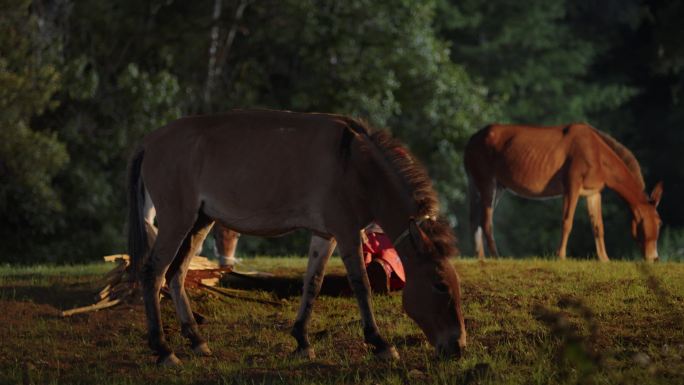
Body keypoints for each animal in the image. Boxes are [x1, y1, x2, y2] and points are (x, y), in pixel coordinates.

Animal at [129, 108, 468, 364]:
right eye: (440, 285)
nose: (459, 347)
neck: (355, 164)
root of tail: (149, 140)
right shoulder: (347, 233)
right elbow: (362, 285)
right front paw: (380, 343)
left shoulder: (325, 235)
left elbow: (313, 284)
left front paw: (302, 340)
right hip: (177, 221)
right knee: (153, 273)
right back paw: (163, 349)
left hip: (200, 221)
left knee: (176, 273)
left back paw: (196, 339)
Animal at [464, 123, 664, 260]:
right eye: (659, 222)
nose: (654, 257)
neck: (596, 153)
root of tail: (471, 140)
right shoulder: (571, 186)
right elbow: (567, 222)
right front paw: (560, 256)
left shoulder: (593, 193)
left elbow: (598, 226)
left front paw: (604, 259)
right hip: (487, 183)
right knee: (486, 221)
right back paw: (496, 256)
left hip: (487, 187)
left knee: (475, 220)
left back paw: (480, 257)